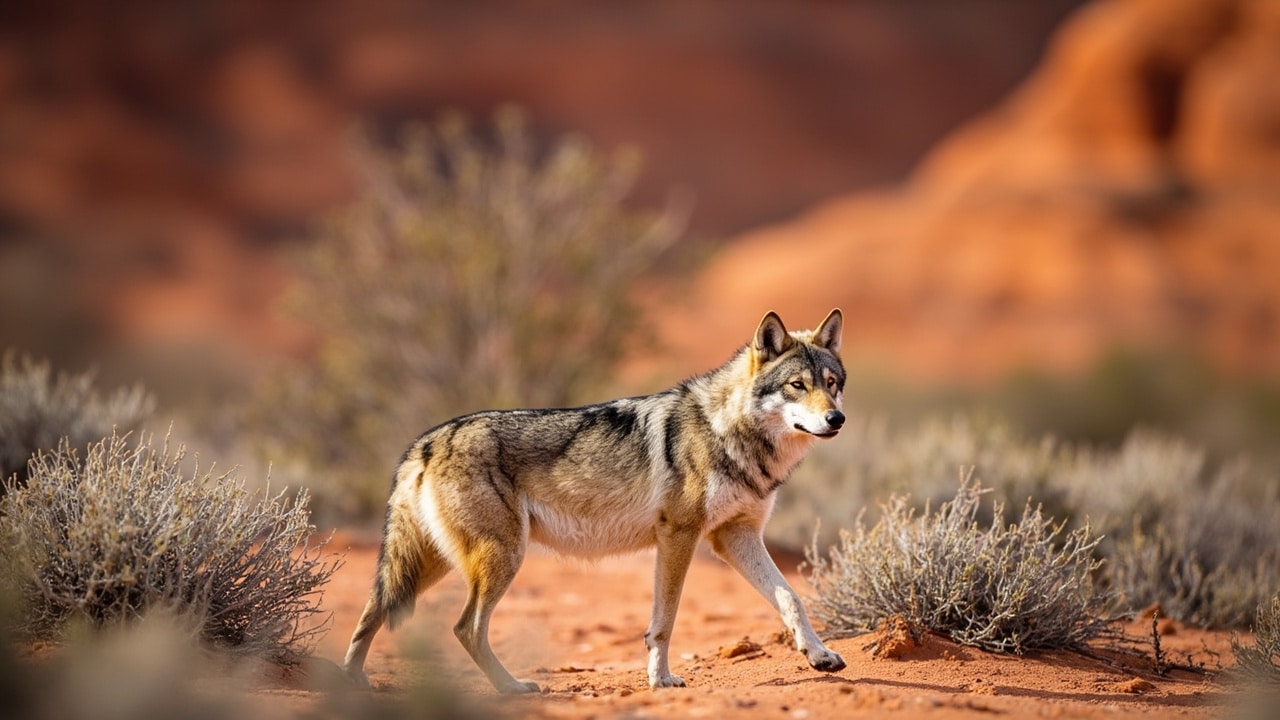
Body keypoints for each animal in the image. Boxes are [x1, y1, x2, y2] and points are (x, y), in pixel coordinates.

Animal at [342, 309, 848, 693]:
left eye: (831, 382)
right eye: (797, 385)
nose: (836, 419)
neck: (729, 431)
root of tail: (425, 442)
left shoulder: (734, 537)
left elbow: (791, 598)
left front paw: (819, 655)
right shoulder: (678, 536)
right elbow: (664, 622)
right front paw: (661, 680)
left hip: (432, 566)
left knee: (371, 612)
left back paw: (349, 685)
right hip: (499, 559)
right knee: (465, 628)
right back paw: (511, 689)